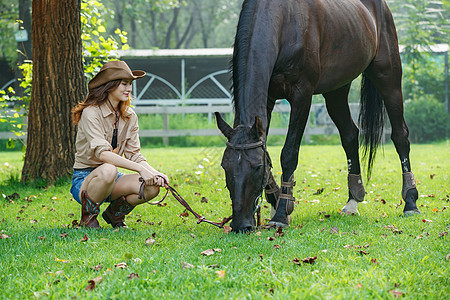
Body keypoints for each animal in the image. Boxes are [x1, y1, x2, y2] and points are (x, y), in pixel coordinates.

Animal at [214, 0, 418, 232]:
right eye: (225, 166)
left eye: (256, 168)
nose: (241, 225)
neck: (284, 21)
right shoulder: (267, 98)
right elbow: (266, 149)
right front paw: (276, 200)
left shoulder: (302, 96)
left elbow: (289, 153)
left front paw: (282, 212)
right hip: (336, 90)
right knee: (350, 135)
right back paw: (352, 200)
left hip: (388, 76)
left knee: (400, 135)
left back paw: (410, 201)